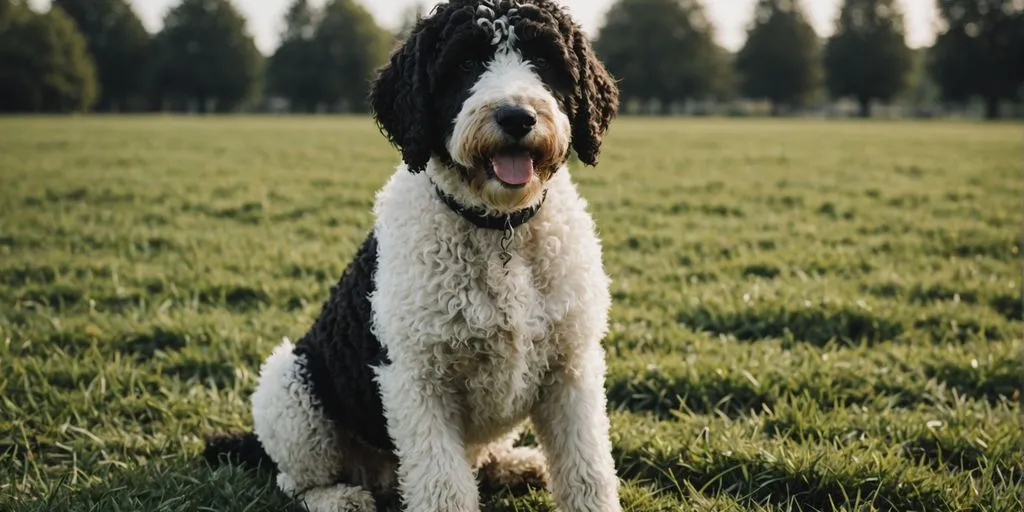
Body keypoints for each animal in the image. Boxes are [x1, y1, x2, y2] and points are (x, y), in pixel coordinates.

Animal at [205, 2, 622, 509]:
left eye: (543, 60)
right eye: (465, 63)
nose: (516, 117)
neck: (500, 229)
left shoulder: (571, 369)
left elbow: (588, 472)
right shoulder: (417, 380)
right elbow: (444, 487)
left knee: (481, 459)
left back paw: (514, 464)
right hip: (290, 387)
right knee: (296, 481)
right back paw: (340, 498)